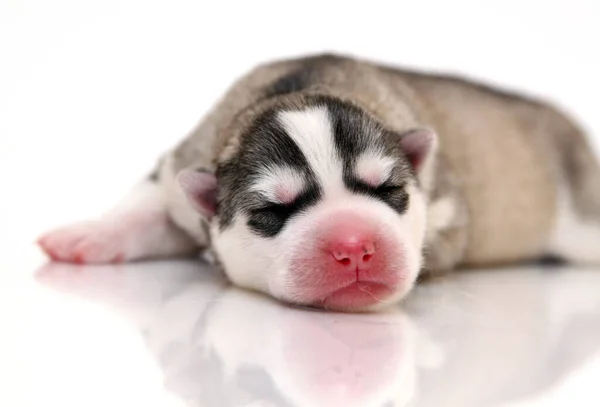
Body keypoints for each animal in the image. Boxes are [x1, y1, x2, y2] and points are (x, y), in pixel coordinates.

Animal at [36, 52, 600, 310]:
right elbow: (146, 203)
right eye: (270, 213)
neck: (298, 88)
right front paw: (90, 234)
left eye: (390, 191)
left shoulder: (445, 206)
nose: (354, 247)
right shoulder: (180, 170)